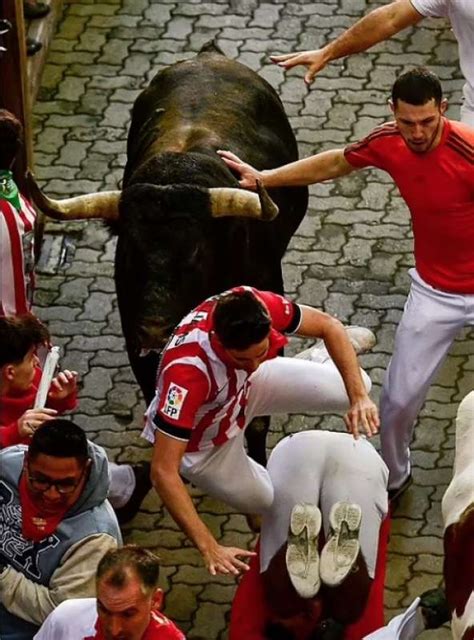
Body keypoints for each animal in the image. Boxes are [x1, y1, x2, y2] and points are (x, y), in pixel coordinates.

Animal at [27, 40, 308, 460]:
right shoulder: (135, 337)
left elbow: (257, 419)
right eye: (129, 251)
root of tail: (209, 55)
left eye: (195, 253)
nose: (155, 331)